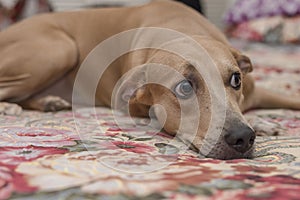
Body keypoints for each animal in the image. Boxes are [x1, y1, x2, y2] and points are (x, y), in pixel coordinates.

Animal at [0, 0, 300, 159]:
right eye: (184, 87)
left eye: (236, 79)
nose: (243, 137)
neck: (182, 30)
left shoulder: (259, 92)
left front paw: (262, 121)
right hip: (59, 48)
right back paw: (8, 107)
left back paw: (48, 102)